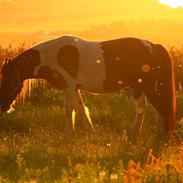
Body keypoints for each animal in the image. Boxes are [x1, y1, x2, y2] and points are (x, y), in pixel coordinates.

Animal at [0, 35, 176, 137]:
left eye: (8, 79)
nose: (3, 107)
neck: (53, 56)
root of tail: (153, 46)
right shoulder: (74, 88)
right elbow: (80, 109)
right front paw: (91, 132)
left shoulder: (69, 86)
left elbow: (68, 109)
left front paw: (68, 135)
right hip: (143, 86)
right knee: (156, 107)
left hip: (142, 85)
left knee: (150, 106)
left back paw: (139, 135)